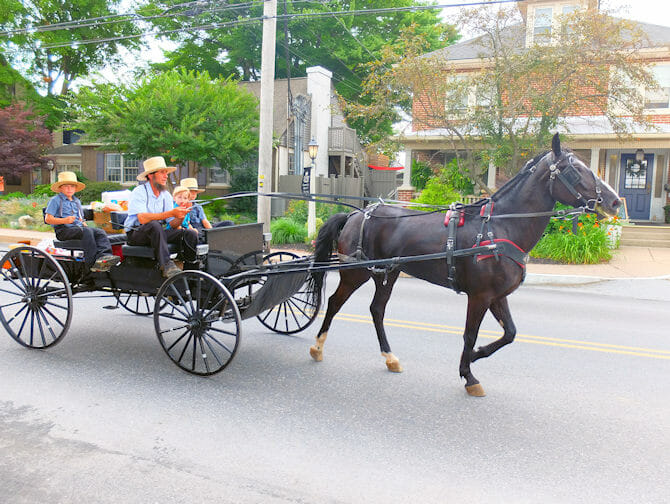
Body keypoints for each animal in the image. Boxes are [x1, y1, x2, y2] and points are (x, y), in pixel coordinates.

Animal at [312, 135, 624, 398]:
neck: (499, 227)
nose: (614, 202)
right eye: (575, 170)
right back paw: (317, 347)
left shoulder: (498, 296)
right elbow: (470, 334)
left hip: (387, 273)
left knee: (377, 310)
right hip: (355, 273)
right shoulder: (480, 296)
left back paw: (390, 358)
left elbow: (510, 333)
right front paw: (469, 373)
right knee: (334, 302)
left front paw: (475, 356)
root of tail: (357, 213)